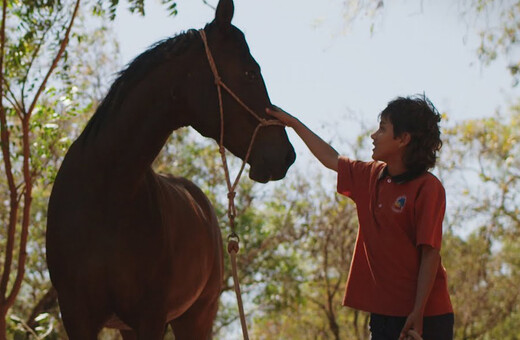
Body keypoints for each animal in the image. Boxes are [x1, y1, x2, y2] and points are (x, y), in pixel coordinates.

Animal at [45, 0, 294, 338]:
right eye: (250, 73)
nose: (287, 156)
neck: (106, 192)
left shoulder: (151, 317)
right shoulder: (77, 316)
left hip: (197, 317)